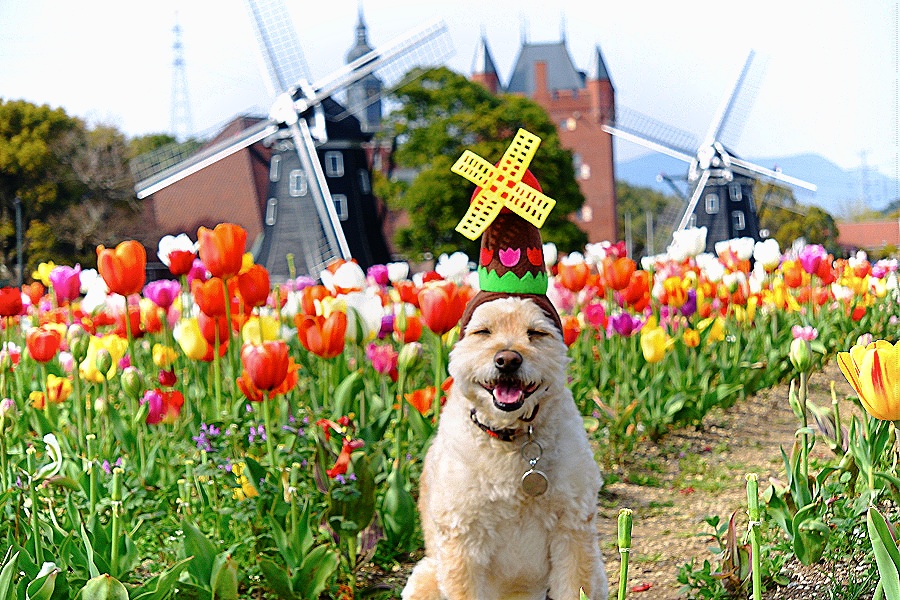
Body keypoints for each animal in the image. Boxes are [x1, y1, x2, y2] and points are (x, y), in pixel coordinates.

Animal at [402, 298, 608, 596]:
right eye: (483, 332)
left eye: (536, 333)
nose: (508, 360)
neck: (510, 438)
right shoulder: (462, 539)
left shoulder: (573, 528)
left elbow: (574, 588)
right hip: (425, 576)